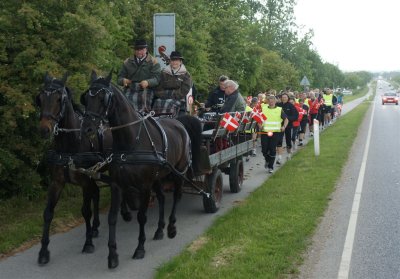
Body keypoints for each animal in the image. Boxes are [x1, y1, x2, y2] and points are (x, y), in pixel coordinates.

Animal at [34, 73, 131, 266]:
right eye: (40, 99)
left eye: (60, 99)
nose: (44, 129)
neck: (69, 145)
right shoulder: (57, 182)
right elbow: (48, 213)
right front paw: (43, 251)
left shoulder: (85, 182)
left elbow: (85, 211)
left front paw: (88, 244)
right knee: (98, 193)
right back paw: (96, 227)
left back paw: (123, 212)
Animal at [80, 70, 203, 270]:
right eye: (86, 98)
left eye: (103, 98)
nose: (87, 128)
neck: (131, 140)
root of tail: (179, 123)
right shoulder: (117, 185)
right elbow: (112, 217)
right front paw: (112, 255)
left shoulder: (144, 186)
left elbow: (142, 217)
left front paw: (140, 248)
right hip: (160, 176)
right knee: (162, 198)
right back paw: (160, 229)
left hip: (179, 172)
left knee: (176, 196)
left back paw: (171, 227)